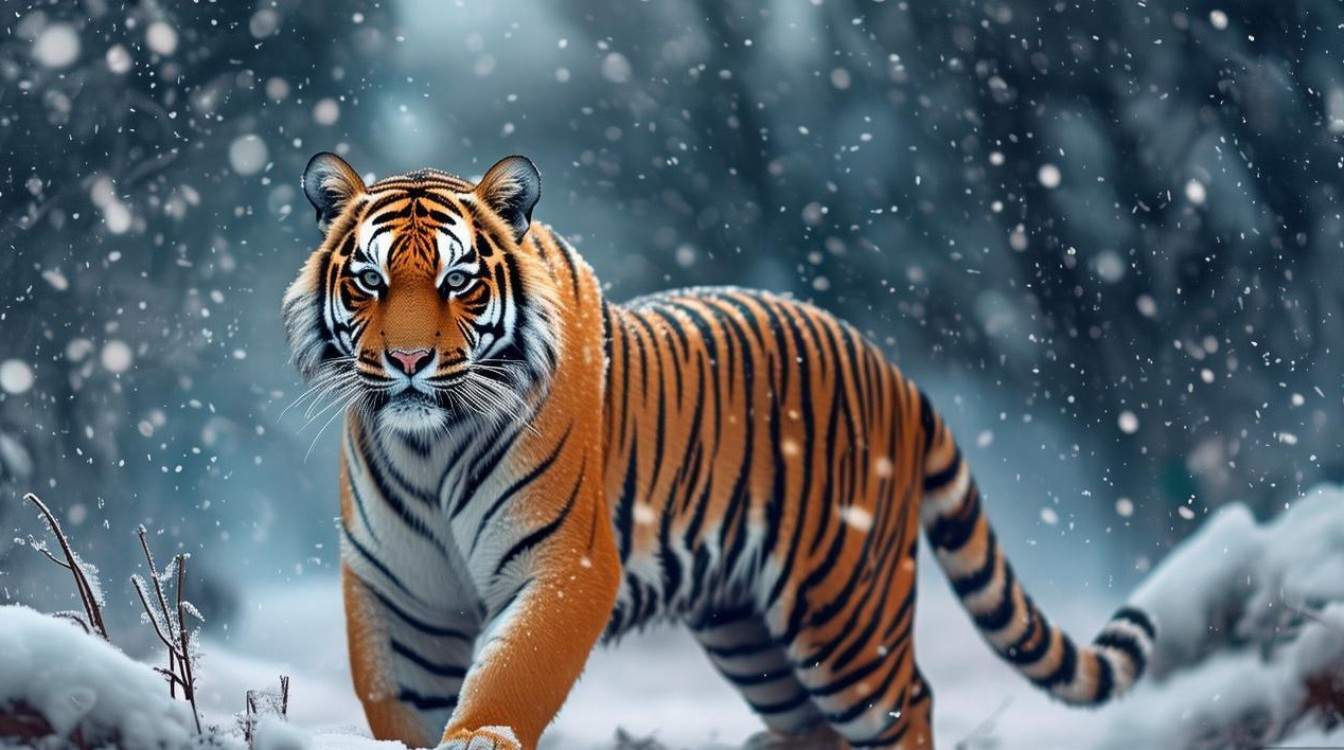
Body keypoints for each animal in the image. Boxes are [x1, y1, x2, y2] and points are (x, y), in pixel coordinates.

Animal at [282, 152, 1156, 750]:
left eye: (459, 282)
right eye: (369, 281)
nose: (407, 361)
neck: (428, 450)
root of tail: (896, 371)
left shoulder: (563, 566)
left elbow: (512, 675)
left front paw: (482, 735)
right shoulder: (397, 591)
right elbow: (399, 707)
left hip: (846, 614)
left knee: (906, 705)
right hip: (749, 631)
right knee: (811, 726)